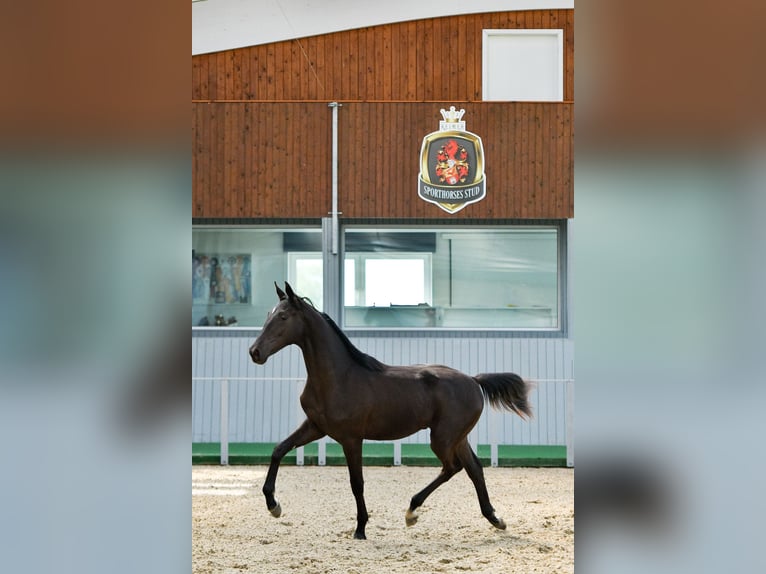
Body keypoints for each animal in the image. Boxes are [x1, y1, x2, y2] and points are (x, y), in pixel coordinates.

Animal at [249, 282, 532, 540]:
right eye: (269, 314)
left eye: (283, 317)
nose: (255, 352)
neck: (339, 377)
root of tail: (474, 380)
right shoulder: (315, 427)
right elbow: (278, 450)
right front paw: (274, 506)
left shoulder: (351, 439)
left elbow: (357, 483)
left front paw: (361, 529)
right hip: (457, 438)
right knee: (474, 468)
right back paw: (495, 519)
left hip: (443, 438)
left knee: (453, 468)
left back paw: (412, 511)